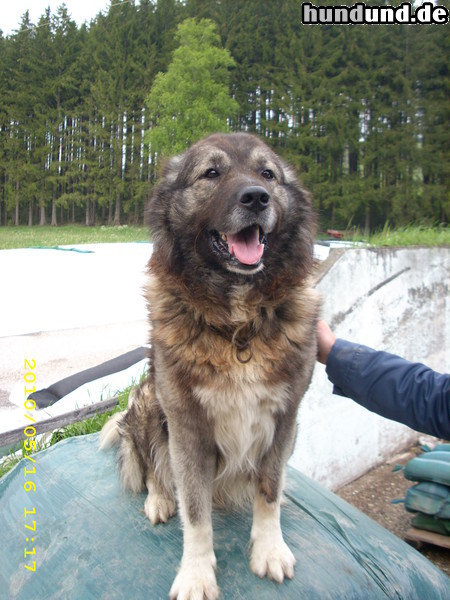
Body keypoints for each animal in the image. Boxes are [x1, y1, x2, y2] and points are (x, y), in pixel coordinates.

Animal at [101, 132, 320, 600]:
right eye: (212, 173)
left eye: (267, 174)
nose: (256, 197)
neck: (237, 327)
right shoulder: (187, 428)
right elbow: (196, 513)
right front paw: (196, 575)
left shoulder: (285, 418)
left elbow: (269, 491)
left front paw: (269, 549)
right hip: (148, 401)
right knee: (152, 467)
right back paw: (159, 498)